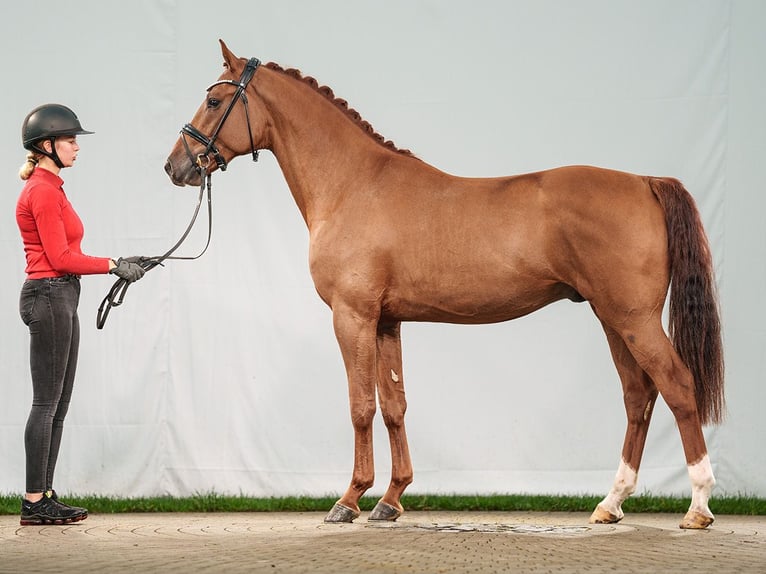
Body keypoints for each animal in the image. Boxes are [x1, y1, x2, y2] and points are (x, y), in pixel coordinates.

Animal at [164, 41, 728, 532]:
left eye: (214, 100)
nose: (176, 165)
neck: (353, 184)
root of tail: (645, 182)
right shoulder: (387, 321)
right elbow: (394, 406)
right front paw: (390, 501)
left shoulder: (352, 316)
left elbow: (360, 405)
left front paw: (349, 500)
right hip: (612, 319)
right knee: (638, 396)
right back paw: (610, 503)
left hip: (633, 319)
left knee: (677, 388)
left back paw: (698, 506)